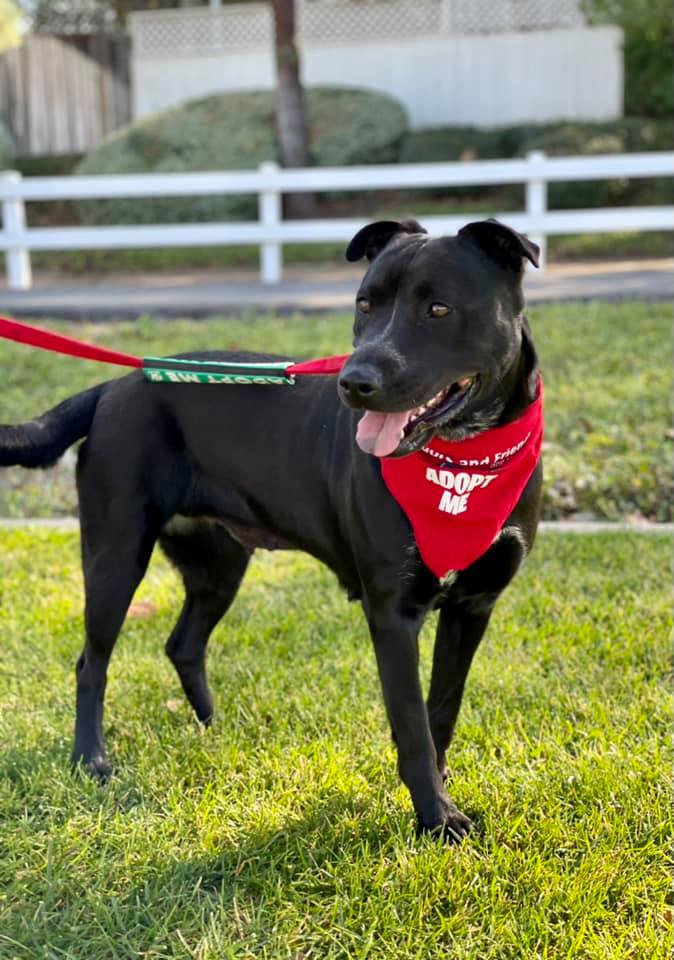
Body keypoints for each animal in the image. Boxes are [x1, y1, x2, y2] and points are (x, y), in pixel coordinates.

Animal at [0, 218, 542, 841]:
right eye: (364, 304)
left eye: (438, 308)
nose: (354, 382)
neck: (466, 461)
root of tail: (112, 388)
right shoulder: (392, 613)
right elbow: (412, 727)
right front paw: (435, 818)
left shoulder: (473, 605)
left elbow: (442, 712)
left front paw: (442, 795)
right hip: (116, 554)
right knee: (92, 664)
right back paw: (91, 760)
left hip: (219, 564)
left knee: (183, 643)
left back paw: (213, 728)